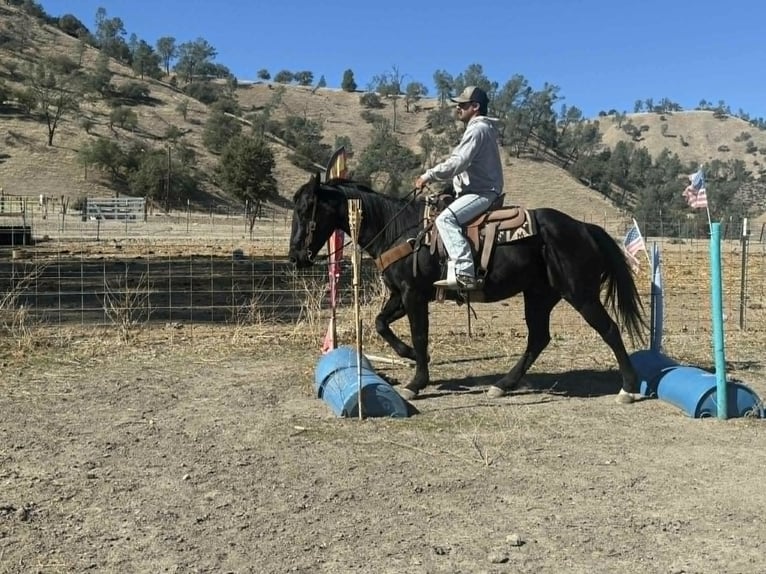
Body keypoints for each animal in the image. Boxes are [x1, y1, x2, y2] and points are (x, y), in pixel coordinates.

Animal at [288, 173, 647, 404]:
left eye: (306, 210)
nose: (295, 257)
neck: (397, 228)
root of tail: (584, 228)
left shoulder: (414, 295)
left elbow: (419, 334)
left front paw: (416, 381)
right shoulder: (399, 295)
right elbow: (380, 323)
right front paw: (408, 356)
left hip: (580, 295)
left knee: (609, 329)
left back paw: (628, 389)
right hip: (539, 296)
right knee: (538, 339)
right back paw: (503, 385)